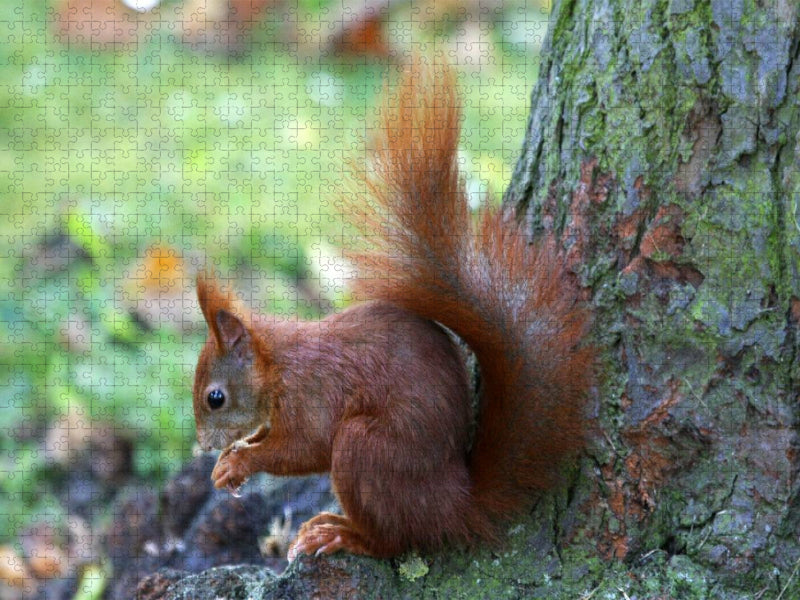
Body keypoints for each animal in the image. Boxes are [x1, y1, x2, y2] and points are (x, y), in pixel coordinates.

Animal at [191, 59, 593, 560]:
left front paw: (240, 462)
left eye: (216, 398)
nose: (203, 447)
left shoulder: (312, 395)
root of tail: (455, 505)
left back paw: (341, 533)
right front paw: (232, 455)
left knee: (394, 540)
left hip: (367, 451)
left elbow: (304, 448)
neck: (278, 365)